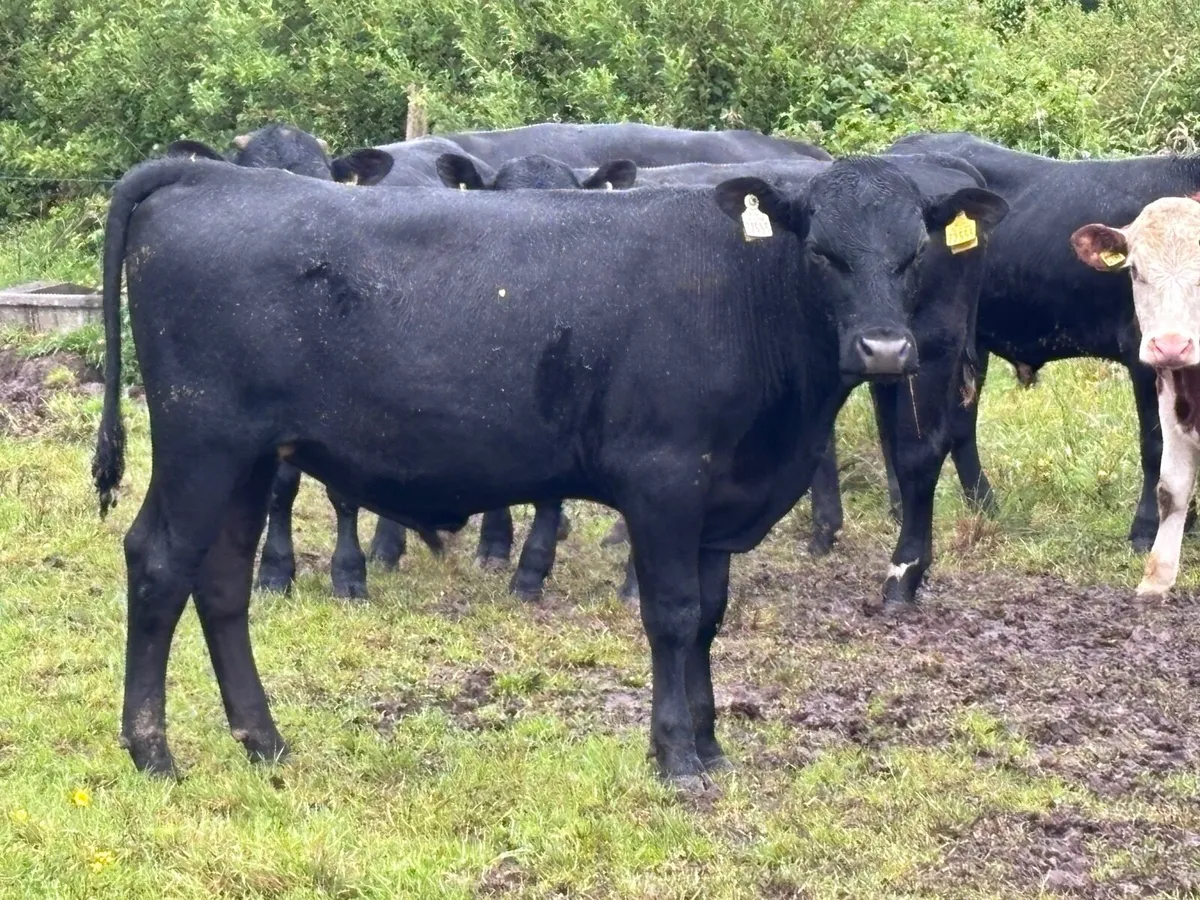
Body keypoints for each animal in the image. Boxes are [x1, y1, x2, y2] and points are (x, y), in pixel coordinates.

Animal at [93, 154, 1005, 786]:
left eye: (912, 254)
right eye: (822, 254)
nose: (885, 350)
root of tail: (209, 174)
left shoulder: (720, 497)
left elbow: (710, 616)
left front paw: (711, 745)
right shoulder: (665, 478)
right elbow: (673, 615)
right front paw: (676, 757)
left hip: (249, 457)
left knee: (221, 582)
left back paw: (265, 741)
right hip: (203, 441)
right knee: (160, 565)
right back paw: (152, 753)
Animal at [891, 132, 1200, 553]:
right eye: (1134, 270)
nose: (1173, 341)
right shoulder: (1143, 356)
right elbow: (1157, 445)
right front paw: (1148, 529)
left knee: (960, 422)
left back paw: (983, 504)